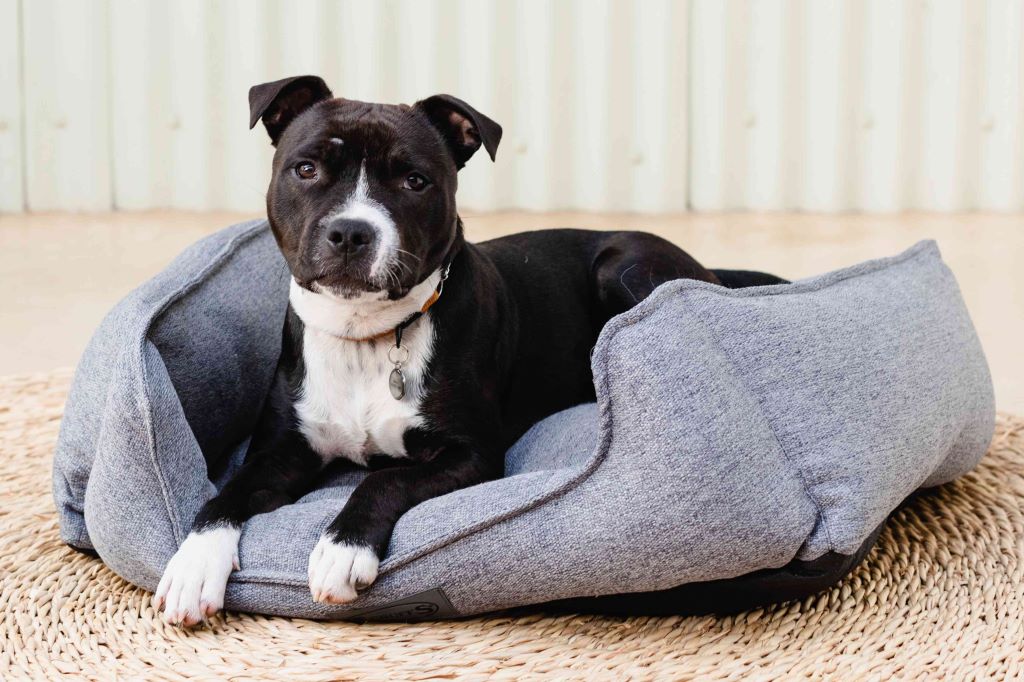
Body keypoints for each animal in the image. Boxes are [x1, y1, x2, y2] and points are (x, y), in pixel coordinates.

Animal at [151, 75, 778, 626]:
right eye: (306, 169)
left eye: (414, 180)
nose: (352, 232)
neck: (367, 336)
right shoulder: (282, 452)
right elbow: (225, 495)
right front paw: (192, 567)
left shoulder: (471, 454)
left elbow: (385, 479)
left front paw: (342, 548)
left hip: (623, 267)